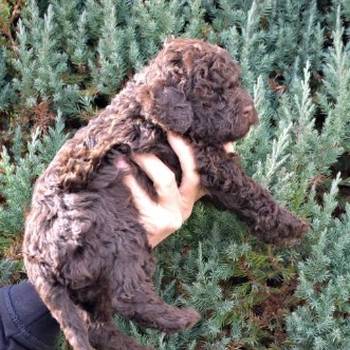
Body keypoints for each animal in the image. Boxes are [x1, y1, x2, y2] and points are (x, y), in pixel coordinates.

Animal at [22, 38, 308, 350]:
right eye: (211, 93)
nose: (250, 111)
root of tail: (37, 260)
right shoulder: (210, 161)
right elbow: (250, 192)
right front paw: (292, 225)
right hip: (120, 236)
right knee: (126, 295)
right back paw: (182, 318)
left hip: (87, 283)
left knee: (96, 325)